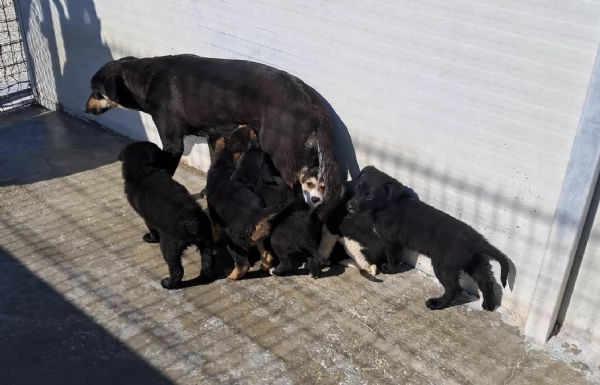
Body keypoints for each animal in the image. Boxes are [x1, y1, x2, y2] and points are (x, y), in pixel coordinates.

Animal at [117, 141, 213, 288]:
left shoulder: (148, 219)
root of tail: (191, 221)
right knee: (207, 259)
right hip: (205, 239)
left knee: (177, 269)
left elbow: (152, 229)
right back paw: (205, 276)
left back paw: (168, 283)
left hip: (170, 245)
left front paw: (150, 238)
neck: (143, 170)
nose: (168, 153)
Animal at [205, 126, 288, 280]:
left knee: (243, 265)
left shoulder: (213, 213)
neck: (226, 161)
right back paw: (265, 267)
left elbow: (215, 229)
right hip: (261, 237)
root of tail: (257, 213)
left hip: (233, 240)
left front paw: (214, 240)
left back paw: (230, 274)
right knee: (266, 255)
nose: (251, 127)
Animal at [231, 134, 326, 276]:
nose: (254, 137)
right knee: (311, 257)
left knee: (287, 263)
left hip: (276, 240)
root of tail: (305, 237)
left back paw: (275, 271)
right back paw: (313, 271)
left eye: (245, 152)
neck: (259, 178)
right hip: (306, 247)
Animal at [346, 166, 510, 310]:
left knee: (454, 288)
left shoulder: (390, 240)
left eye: (370, 196)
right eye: (357, 188)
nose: (349, 206)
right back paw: (488, 304)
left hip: (444, 264)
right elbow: (397, 256)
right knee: (486, 281)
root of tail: (476, 241)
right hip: (472, 261)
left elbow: (392, 257)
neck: (387, 205)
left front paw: (390, 270)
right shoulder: (397, 242)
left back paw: (437, 304)